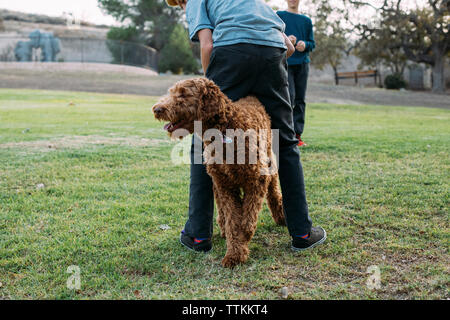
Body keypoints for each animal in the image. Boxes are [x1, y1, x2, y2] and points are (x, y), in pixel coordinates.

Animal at [152, 77, 284, 268]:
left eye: (183, 94)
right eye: (172, 92)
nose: (157, 109)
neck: (226, 129)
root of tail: (252, 98)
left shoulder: (256, 180)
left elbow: (247, 221)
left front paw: (243, 241)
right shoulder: (224, 184)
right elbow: (233, 222)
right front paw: (235, 253)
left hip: (268, 163)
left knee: (274, 192)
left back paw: (281, 218)